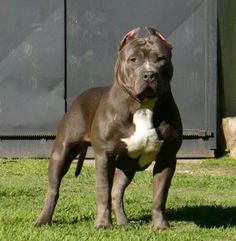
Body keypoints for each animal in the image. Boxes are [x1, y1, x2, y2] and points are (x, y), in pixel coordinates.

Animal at [35, 26, 183, 230]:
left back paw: (123, 223)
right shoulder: (105, 155)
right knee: (53, 189)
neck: (143, 106)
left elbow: (160, 195)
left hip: (128, 166)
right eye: (133, 59)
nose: (149, 74)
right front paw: (103, 224)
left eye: (161, 59)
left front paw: (160, 226)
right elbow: (103, 191)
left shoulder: (167, 157)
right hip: (61, 153)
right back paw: (43, 220)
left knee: (117, 192)